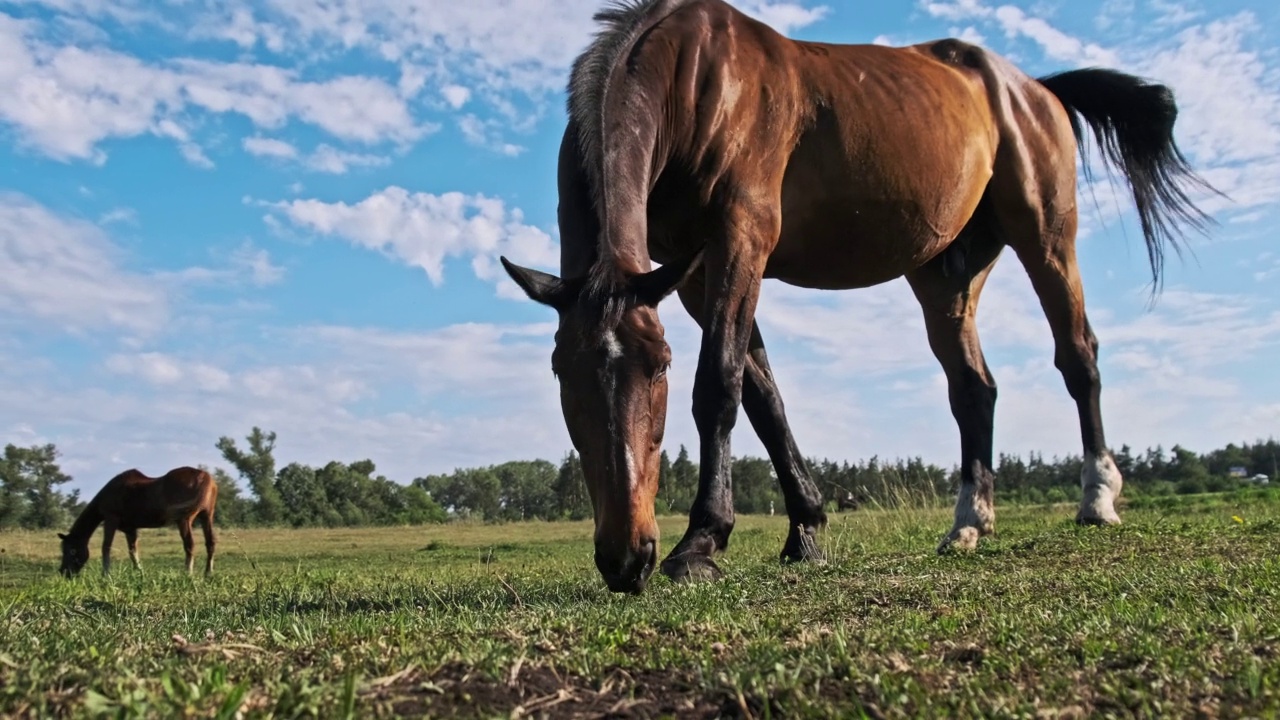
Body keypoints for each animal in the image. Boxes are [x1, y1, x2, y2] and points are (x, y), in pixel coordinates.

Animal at [58, 466, 218, 576]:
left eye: (72, 550)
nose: (64, 572)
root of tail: (205, 477)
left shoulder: (110, 520)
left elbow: (106, 547)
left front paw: (106, 575)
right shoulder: (130, 529)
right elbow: (132, 551)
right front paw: (139, 572)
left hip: (184, 520)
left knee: (189, 545)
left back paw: (188, 573)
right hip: (206, 516)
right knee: (210, 543)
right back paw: (208, 573)